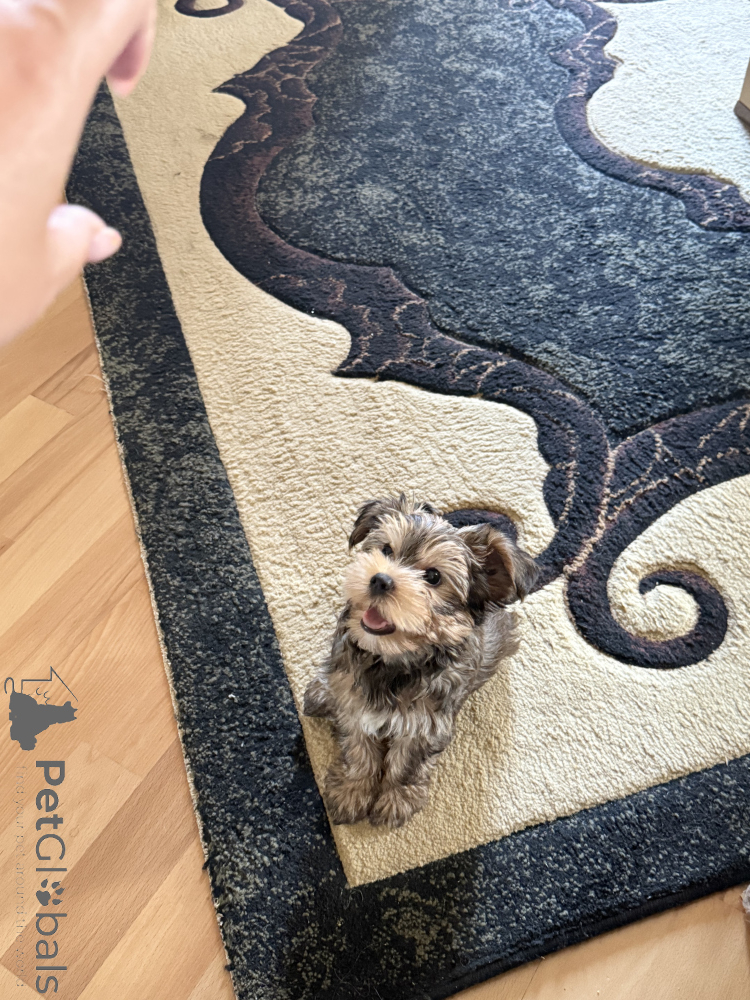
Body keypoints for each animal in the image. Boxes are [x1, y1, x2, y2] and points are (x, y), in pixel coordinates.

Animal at [303, 495, 539, 829]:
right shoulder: (352, 703)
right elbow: (358, 748)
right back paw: (320, 694)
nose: (380, 579)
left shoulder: (425, 723)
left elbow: (407, 762)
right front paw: (353, 788)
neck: (391, 661)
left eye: (433, 577)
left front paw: (395, 798)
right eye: (386, 550)